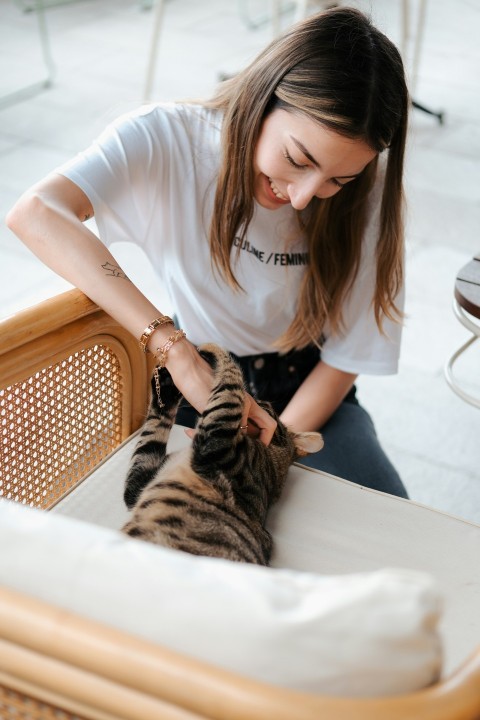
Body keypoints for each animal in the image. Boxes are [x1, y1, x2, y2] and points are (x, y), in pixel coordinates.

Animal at [121, 346, 322, 564]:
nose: (256, 398)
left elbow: (231, 382)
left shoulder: (216, 441)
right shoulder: (140, 481)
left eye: (265, 405)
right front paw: (165, 386)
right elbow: (153, 430)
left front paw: (210, 349)